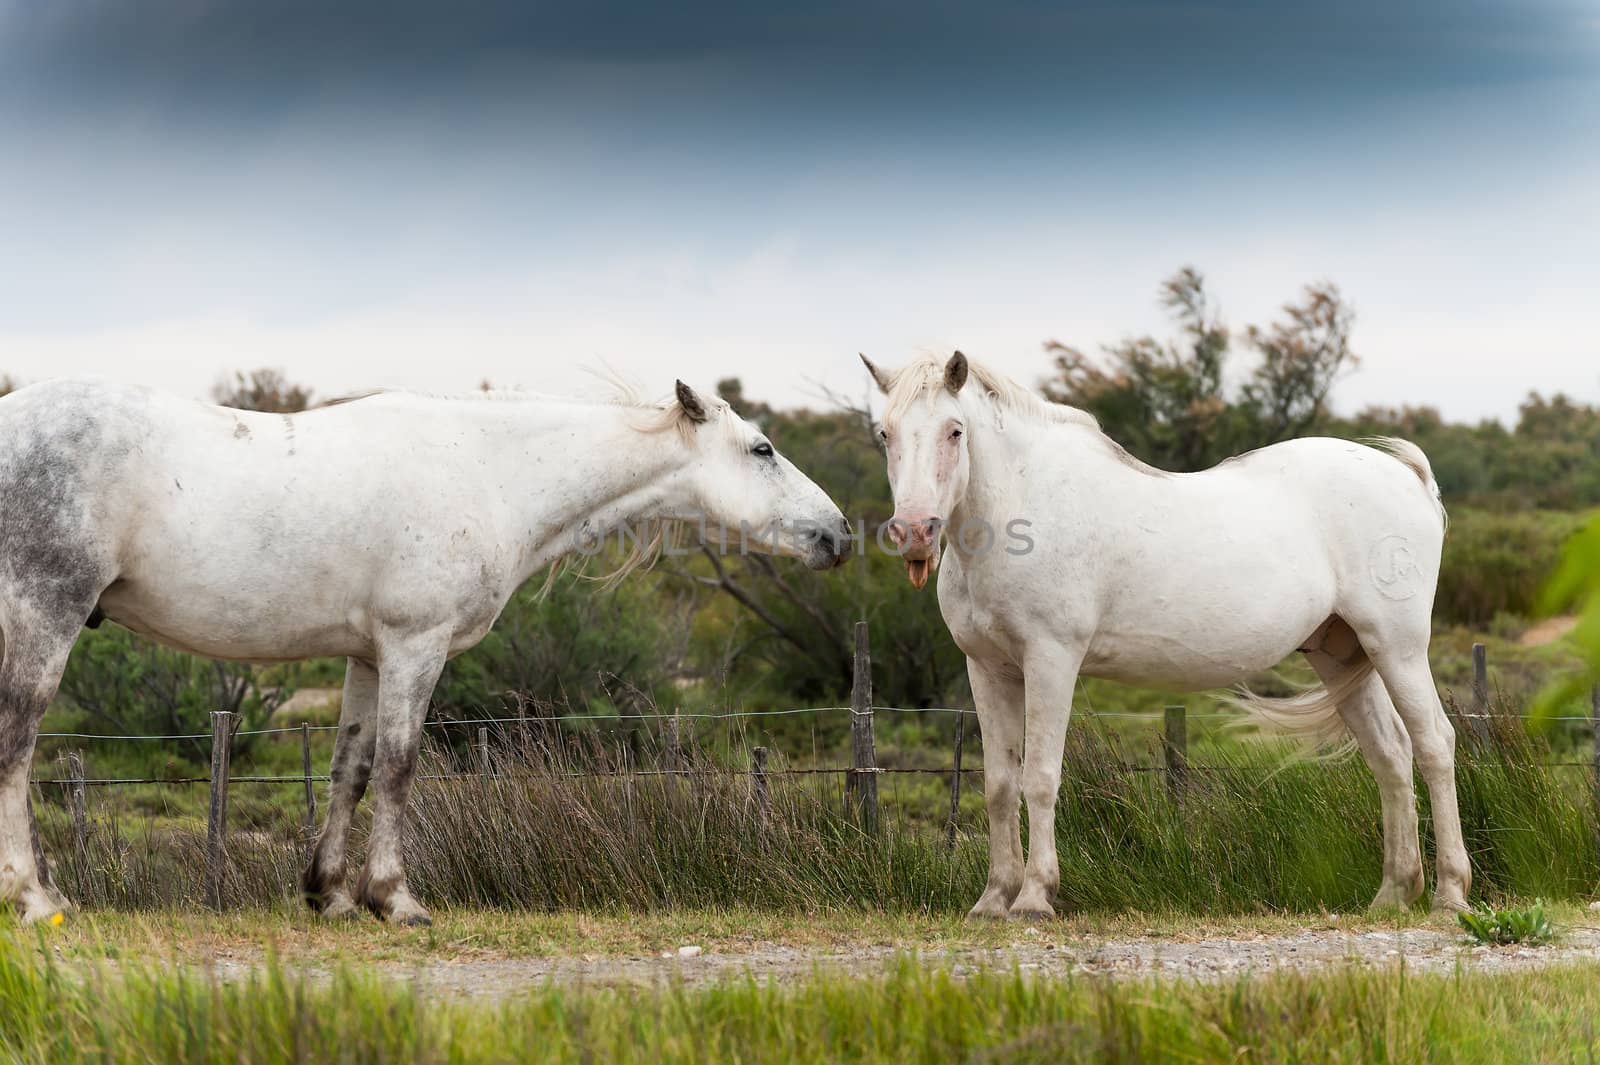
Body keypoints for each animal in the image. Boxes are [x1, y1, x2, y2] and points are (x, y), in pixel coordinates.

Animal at [0, 375, 857, 921]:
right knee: (18, 743)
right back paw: (37, 898)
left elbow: (349, 768)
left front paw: (330, 894)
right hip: (43, 615)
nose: (840, 533)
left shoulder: (367, 655)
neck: (490, 468)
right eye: (762, 448)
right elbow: (399, 765)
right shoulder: (418, 644)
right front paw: (394, 897)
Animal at [864, 351, 1465, 914]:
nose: (914, 532)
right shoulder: (988, 670)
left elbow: (1040, 777)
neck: (1021, 504)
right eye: (885, 434)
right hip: (1341, 654)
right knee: (1390, 755)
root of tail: (1411, 479)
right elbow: (998, 785)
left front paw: (1034, 897)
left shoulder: (1051, 661)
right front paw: (993, 900)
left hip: (1398, 648)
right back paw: (1394, 892)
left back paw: (1450, 893)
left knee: (1434, 743)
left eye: (954, 431)